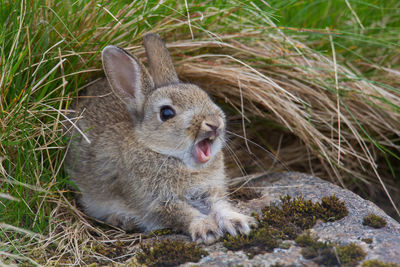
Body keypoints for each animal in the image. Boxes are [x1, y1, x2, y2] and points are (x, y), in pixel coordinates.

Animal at [64, 33, 255, 245]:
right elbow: (184, 214)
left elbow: (219, 205)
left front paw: (237, 223)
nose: (214, 123)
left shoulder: (209, 190)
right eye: (166, 113)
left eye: (204, 96)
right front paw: (207, 229)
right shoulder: (157, 203)